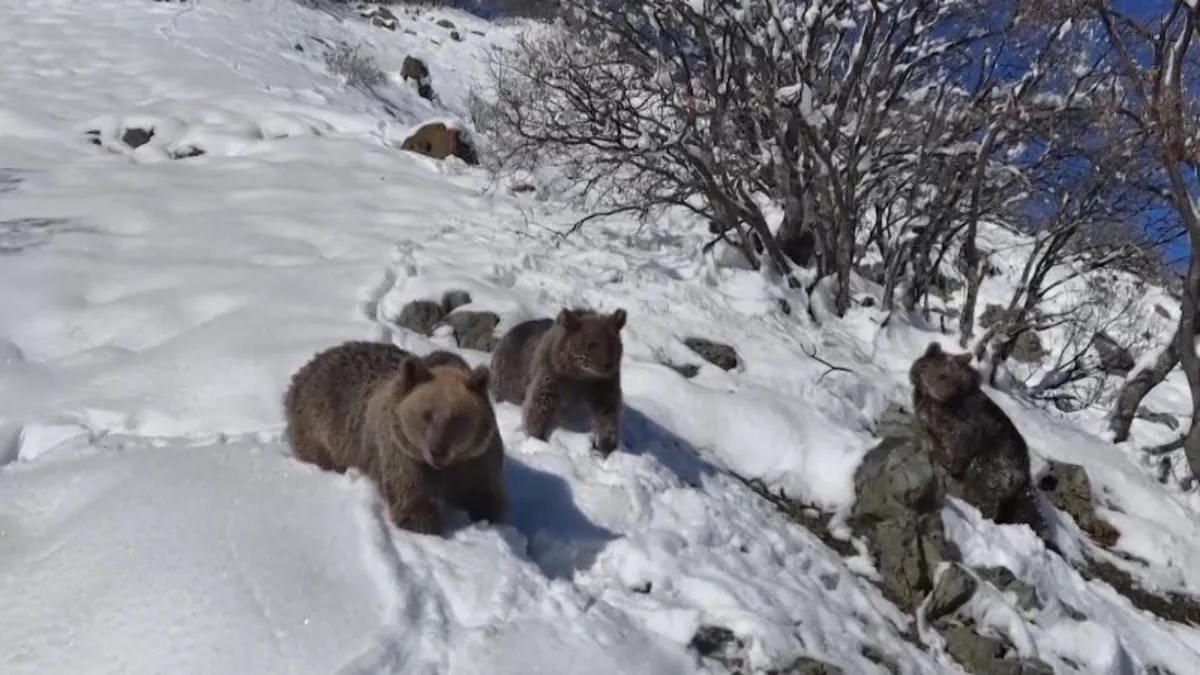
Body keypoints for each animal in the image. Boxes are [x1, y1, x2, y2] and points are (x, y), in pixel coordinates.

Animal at [284, 338, 506, 533]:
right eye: (426, 414)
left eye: (456, 417)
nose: (437, 450)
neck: (446, 467)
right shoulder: (403, 453)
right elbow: (411, 497)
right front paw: (423, 523)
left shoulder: (477, 458)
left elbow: (484, 494)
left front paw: (485, 513)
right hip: (319, 423)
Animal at [487, 306, 628, 454]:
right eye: (591, 344)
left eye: (612, 344)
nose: (607, 364)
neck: (580, 375)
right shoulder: (553, 375)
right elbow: (540, 405)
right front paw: (537, 437)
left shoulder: (603, 384)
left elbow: (607, 413)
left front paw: (606, 444)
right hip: (510, 378)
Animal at [912, 338, 1046, 538]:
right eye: (933, 370)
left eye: (945, 375)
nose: (939, 392)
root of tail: (1024, 477)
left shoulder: (965, 428)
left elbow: (958, 446)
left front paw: (941, 457)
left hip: (992, 468)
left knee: (980, 494)